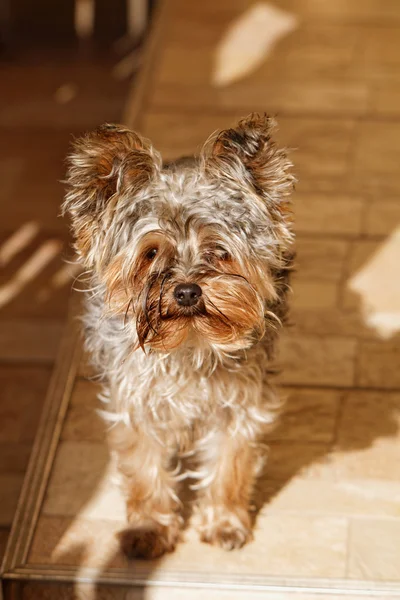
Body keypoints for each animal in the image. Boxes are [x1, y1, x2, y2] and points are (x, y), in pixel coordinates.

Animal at [62, 115, 294, 560]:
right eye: (150, 253)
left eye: (219, 250)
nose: (187, 291)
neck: (189, 342)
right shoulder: (137, 401)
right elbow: (144, 468)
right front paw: (149, 528)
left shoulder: (238, 402)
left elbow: (228, 464)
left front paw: (223, 522)